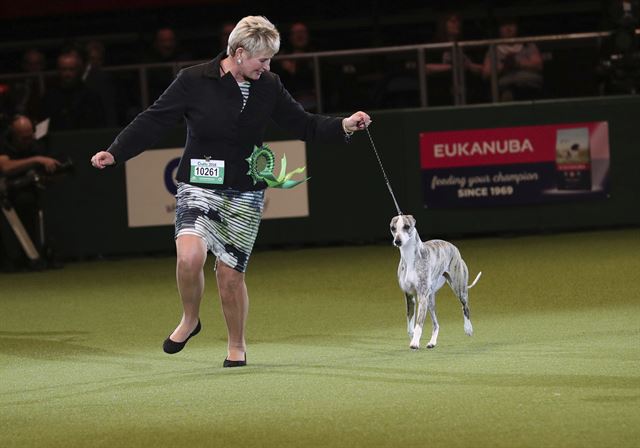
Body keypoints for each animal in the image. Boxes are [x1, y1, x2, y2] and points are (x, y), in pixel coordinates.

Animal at [390, 214, 480, 350]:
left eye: (406, 226)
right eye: (393, 228)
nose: (397, 241)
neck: (410, 258)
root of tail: (453, 246)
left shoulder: (422, 296)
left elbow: (418, 324)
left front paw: (415, 343)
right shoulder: (410, 296)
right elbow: (410, 323)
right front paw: (413, 338)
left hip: (459, 289)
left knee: (465, 307)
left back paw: (468, 329)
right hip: (430, 300)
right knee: (436, 324)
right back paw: (432, 342)